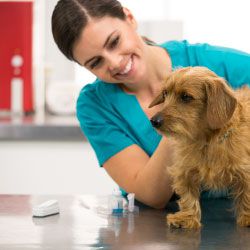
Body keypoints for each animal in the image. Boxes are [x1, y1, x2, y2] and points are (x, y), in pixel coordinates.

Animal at [149, 66, 249, 229]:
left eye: (186, 97)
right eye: (165, 93)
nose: (154, 121)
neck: (207, 140)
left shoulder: (246, 172)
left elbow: (247, 194)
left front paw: (247, 216)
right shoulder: (184, 171)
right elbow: (188, 197)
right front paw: (186, 218)